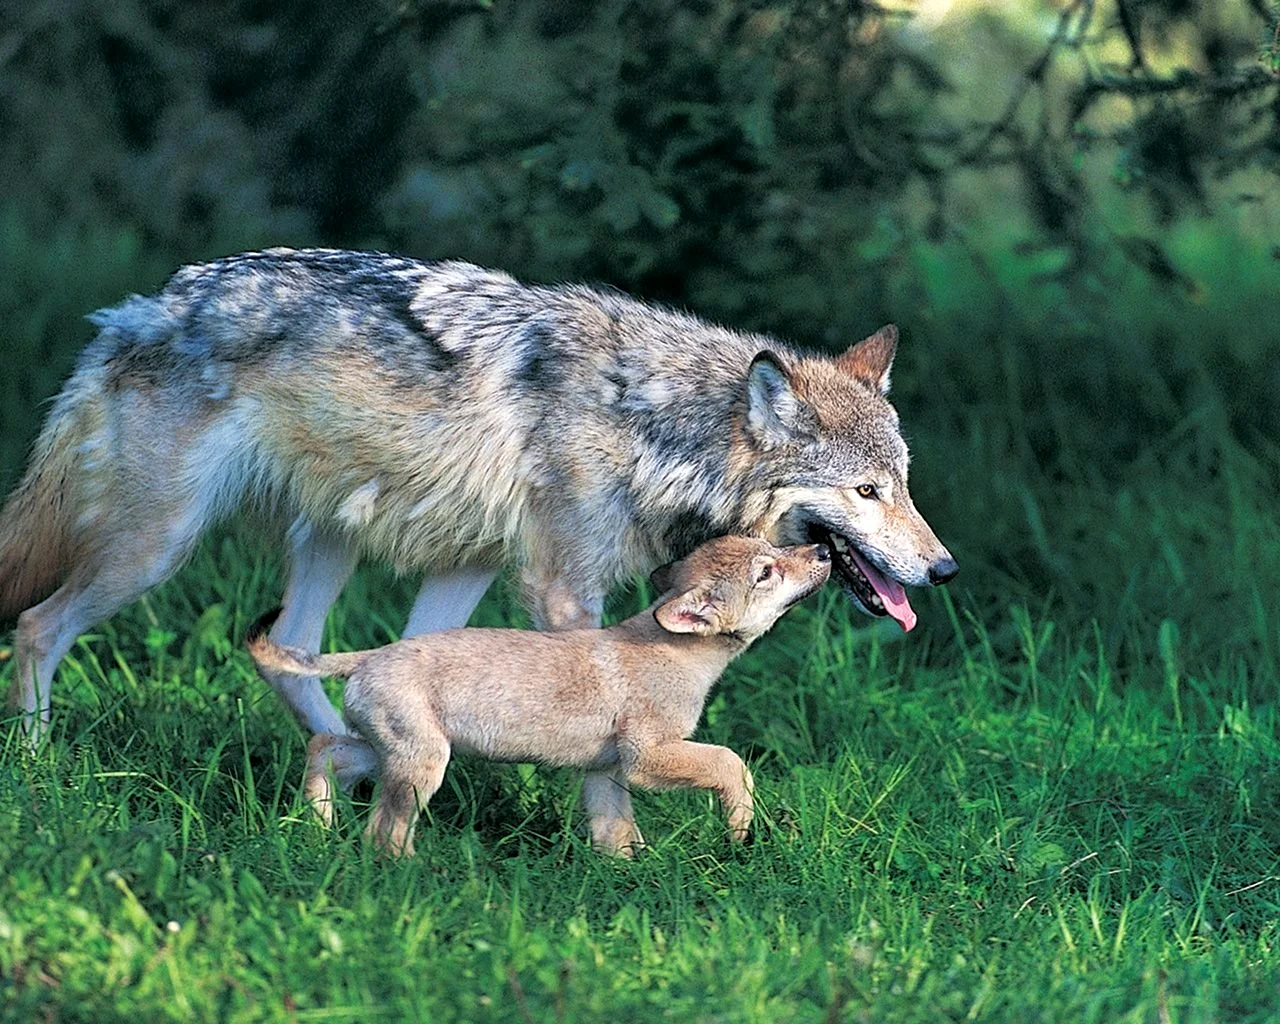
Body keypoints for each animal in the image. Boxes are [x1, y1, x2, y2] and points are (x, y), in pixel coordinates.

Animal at [0, 252, 952, 849]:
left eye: (905, 484)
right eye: (867, 493)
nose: (943, 569)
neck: (655, 427)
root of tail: (140, 309)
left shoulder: (477, 565)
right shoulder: (561, 587)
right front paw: (611, 841)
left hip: (341, 545)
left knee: (296, 653)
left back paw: (348, 774)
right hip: (155, 550)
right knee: (39, 627)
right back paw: (39, 763)